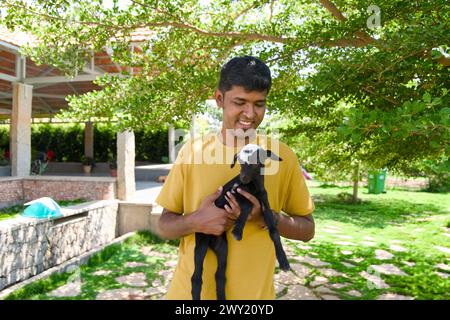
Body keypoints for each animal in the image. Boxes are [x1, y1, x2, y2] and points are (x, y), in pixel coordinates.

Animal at [191, 144, 290, 298]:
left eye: (254, 163)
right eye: (241, 163)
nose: (242, 178)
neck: (254, 186)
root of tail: (211, 240)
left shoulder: (265, 207)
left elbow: (274, 232)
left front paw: (283, 260)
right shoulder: (232, 193)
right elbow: (248, 205)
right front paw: (238, 230)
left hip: (222, 248)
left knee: (220, 276)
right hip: (201, 244)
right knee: (196, 277)